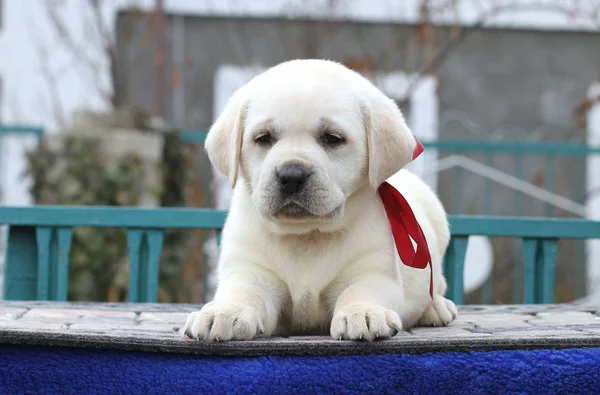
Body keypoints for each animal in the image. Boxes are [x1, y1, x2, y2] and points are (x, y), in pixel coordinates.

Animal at [185, 59, 458, 344]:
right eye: (263, 138)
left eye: (332, 138)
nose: (291, 176)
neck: (306, 236)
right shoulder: (250, 271)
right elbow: (244, 292)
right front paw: (223, 312)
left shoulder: (374, 270)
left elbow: (360, 290)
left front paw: (363, 312)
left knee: (437, 285)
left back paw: (436, 308)